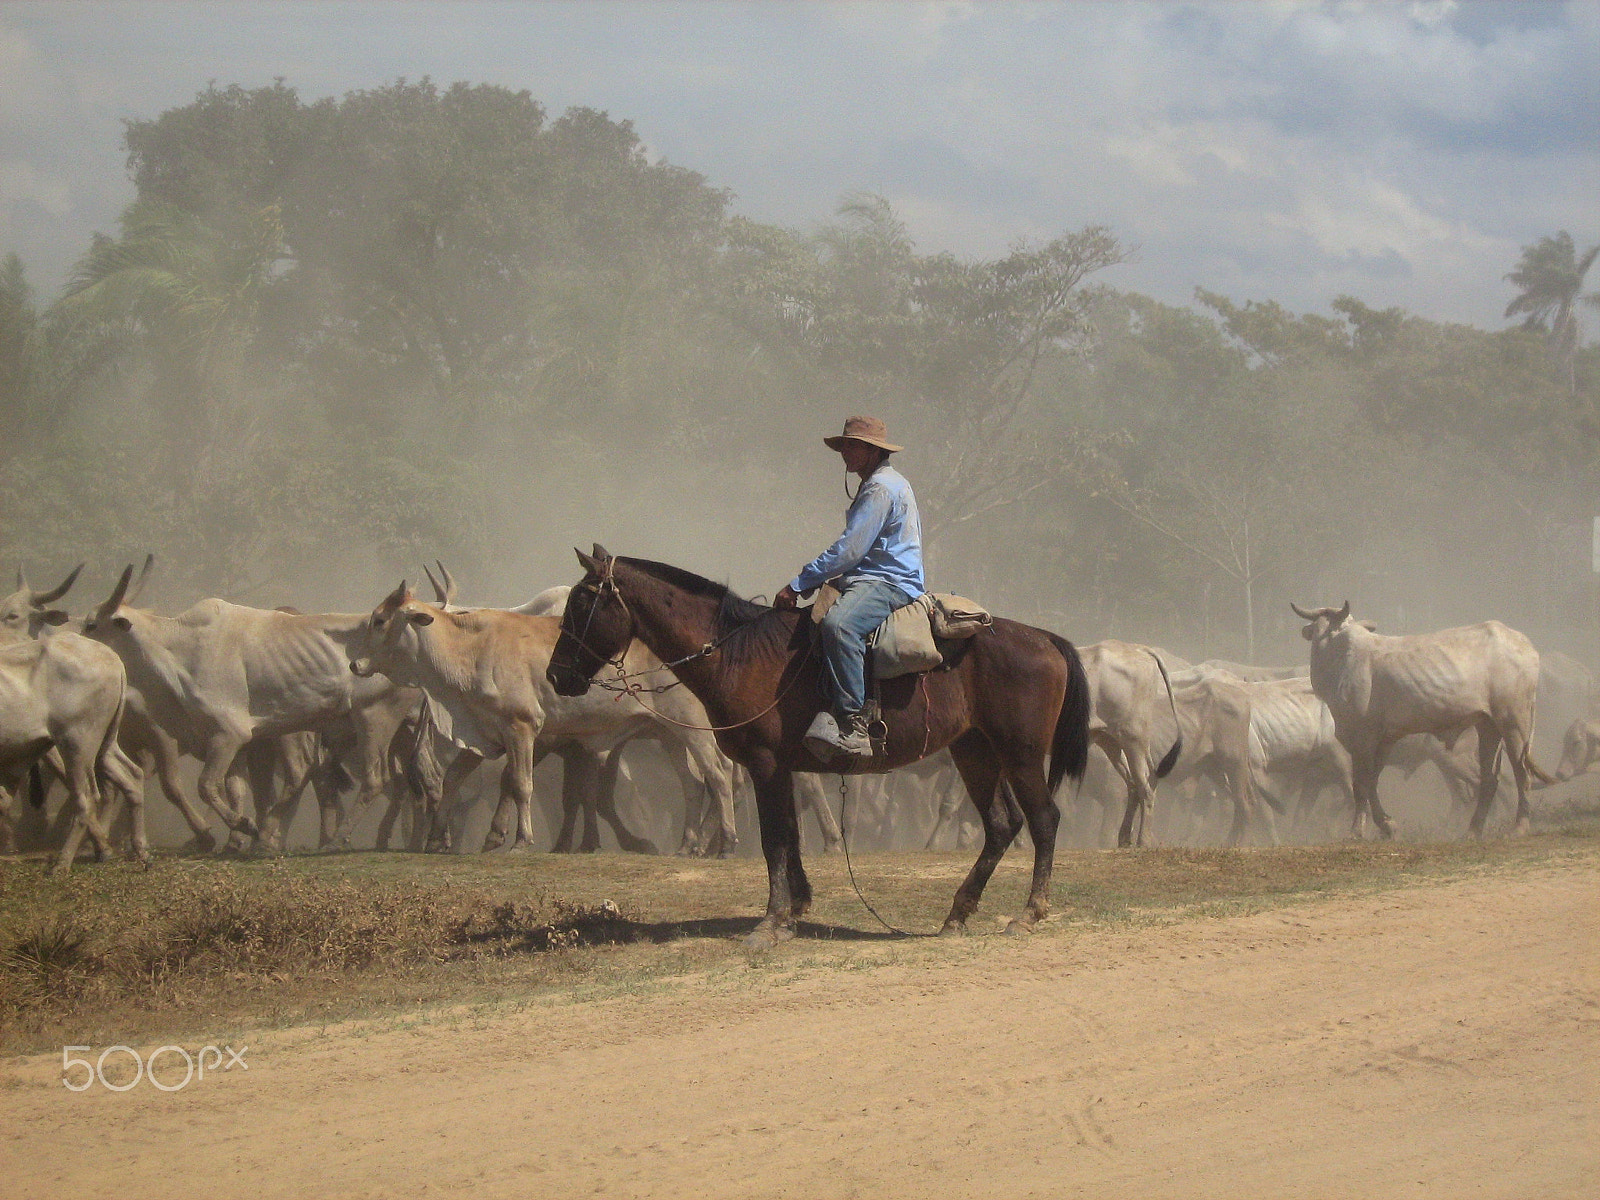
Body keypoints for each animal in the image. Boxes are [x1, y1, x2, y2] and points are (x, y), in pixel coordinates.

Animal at [544, 550, 1094, 947]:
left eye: (581, 604)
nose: (555, 675)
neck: (739, 652)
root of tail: (1044, 638)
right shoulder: (782, 768)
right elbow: (790, 834)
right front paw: (796, 908)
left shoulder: (764, 764)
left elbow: (773, 839)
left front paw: (770, 923)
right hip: (974, 752)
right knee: (1002, 825)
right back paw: (957, 914)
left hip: (1020, 753)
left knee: (1043, 820)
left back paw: (1029, 913)